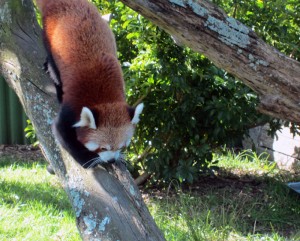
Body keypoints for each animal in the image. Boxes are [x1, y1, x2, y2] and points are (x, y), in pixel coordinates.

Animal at [36, 0, 144, 168]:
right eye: (103, 147)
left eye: (122, 146)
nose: (112, 160)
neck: (105, 99)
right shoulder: (72, 107)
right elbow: (60, 130)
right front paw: (86, 160)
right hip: (49, 37)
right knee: (54, 68)